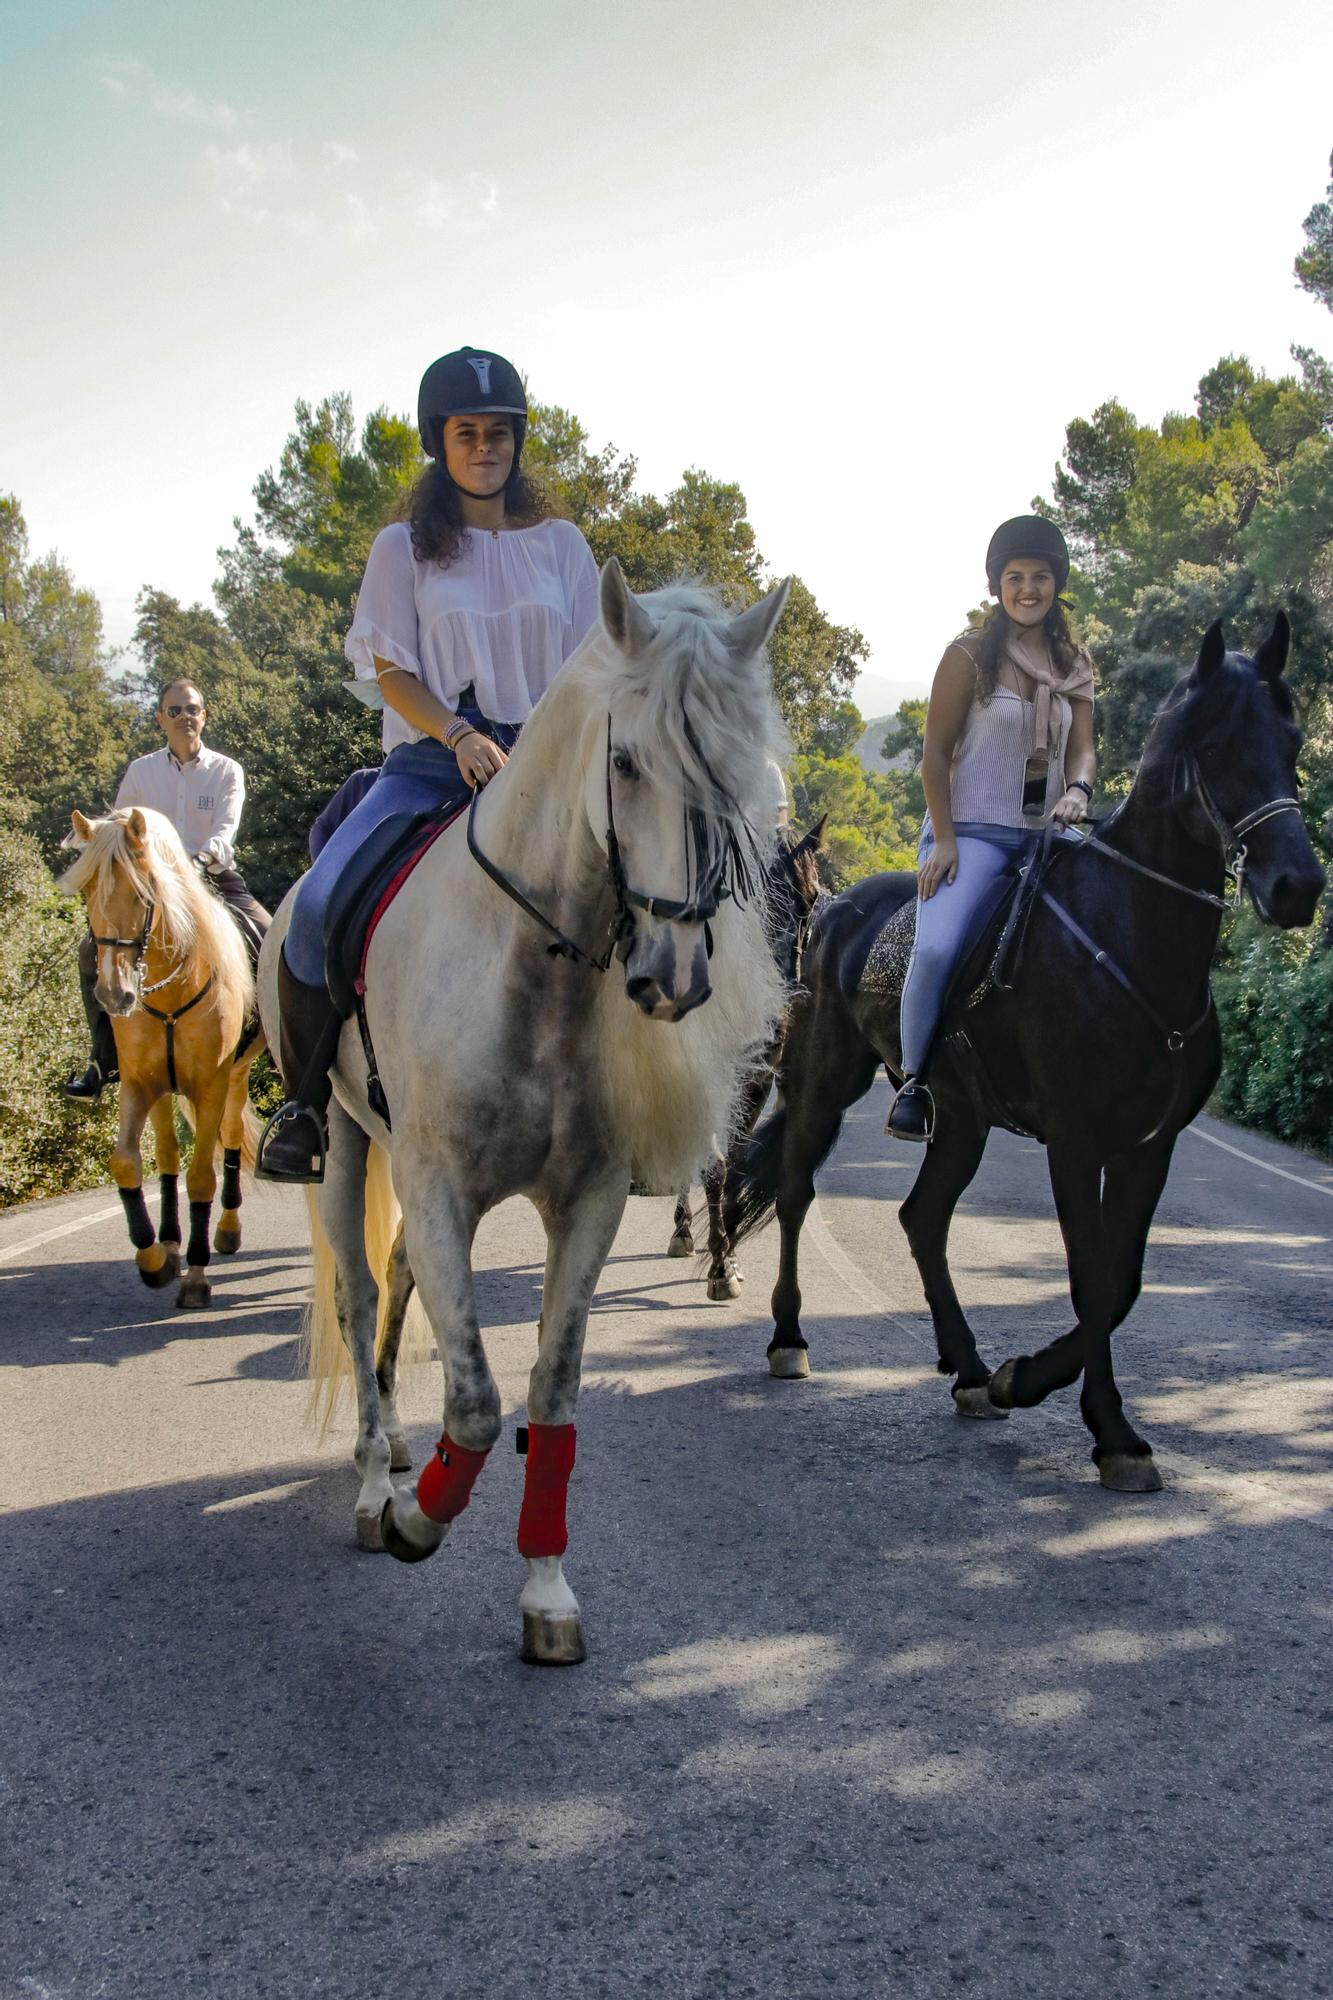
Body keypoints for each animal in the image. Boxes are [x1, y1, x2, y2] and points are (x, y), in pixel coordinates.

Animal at [62, 812, 260, 1312]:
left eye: (143, 892)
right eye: (88, 890)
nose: (114, 994)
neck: (169, 990)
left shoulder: (210, 1086)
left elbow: (201, 1177)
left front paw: (196, 1276)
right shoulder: (140, 1084)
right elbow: (129, 1163)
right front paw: (155, 1259)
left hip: (238, 1074)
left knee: (231, 1138)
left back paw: (226, 1232)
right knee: (168, 1154)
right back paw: (170, 1243)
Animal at [256, 556, 788, 1664]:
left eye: (734, 776)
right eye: (624, 761)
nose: (674, 977)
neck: (529, 970)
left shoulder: (586, 1202)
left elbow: (550, 1390)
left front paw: (546, 1587)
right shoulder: (437, 1188)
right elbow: (473, 1398)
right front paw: (417, 1519)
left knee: (395, 1281)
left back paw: (395, 1449)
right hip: (346, 1150)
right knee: (359, 1292)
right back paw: (373, 1481)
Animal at [660, 812, 820, 1296]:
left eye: (813, 898)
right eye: (754, 898)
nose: (787, 987)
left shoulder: (755, 1080)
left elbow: (735, 1165)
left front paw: (728, 1257)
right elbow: (713, 1165)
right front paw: (717, 1265)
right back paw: (683, 1231)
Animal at [720, 616, 1320, 1496]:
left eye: (1291, 740)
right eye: (1214, 745)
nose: (1296, 888)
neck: (1127, 940)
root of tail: (830, 909)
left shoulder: (1148, 1148)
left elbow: (1123, 1281)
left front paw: (1021, 1380)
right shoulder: (1074, 1142)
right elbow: (1091, 1278)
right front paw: (1110, 1433)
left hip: (961, 1118)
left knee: (921, 1217)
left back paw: (970, 1371)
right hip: (825, 1081)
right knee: (796, 1192)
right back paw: (789, 1339)